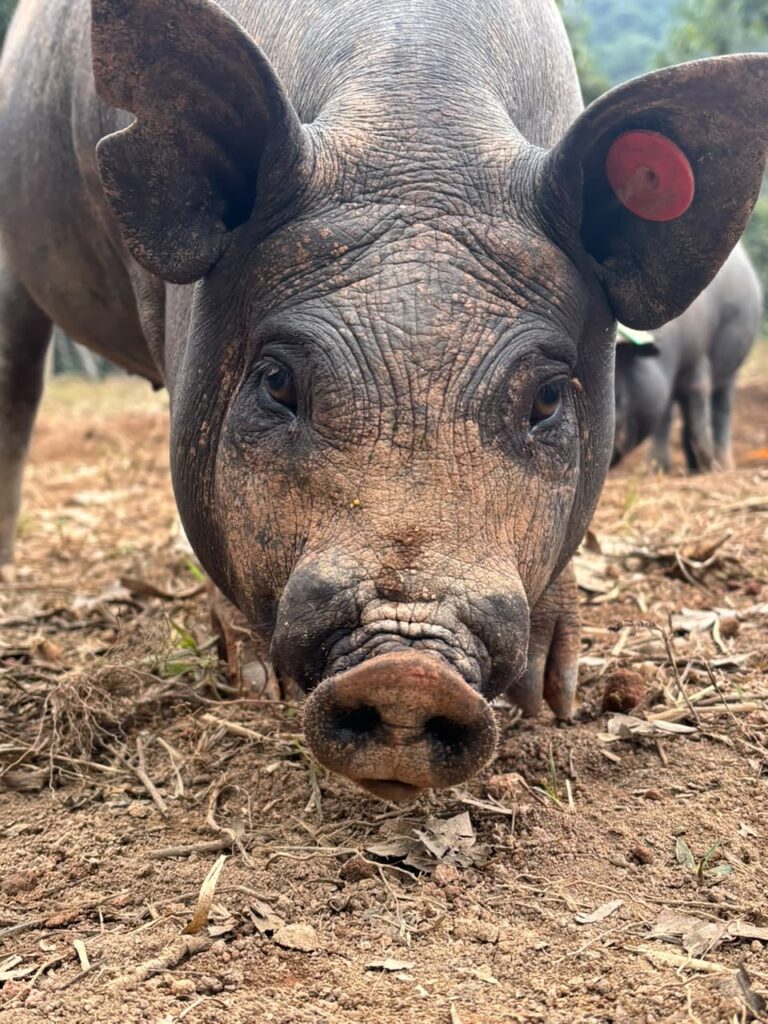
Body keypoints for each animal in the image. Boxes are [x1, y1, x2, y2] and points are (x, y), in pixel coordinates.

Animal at [612, 242, 763, 470]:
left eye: (618, 394)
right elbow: (665, 420)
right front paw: (655, 468)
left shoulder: (698, 361)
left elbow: (698, 408)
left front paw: (710, 468)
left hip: (732, 371)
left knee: (721, 411)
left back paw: (722, 465)